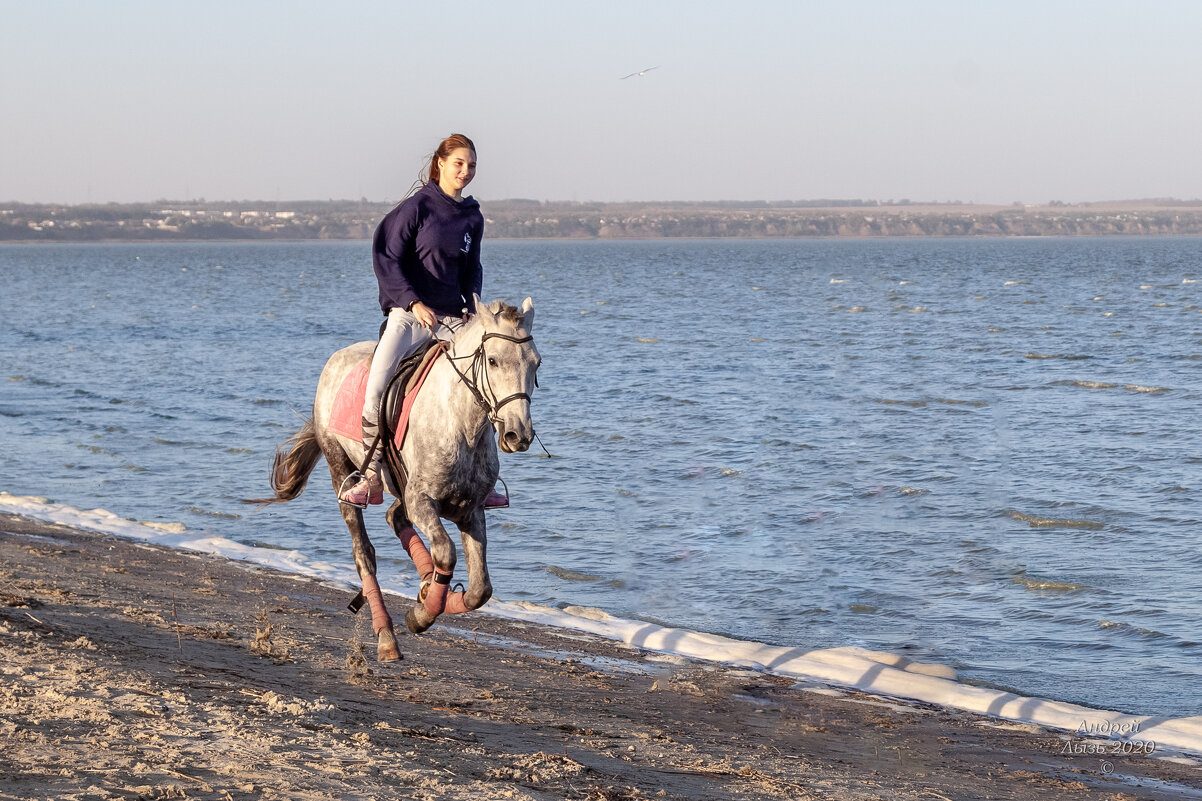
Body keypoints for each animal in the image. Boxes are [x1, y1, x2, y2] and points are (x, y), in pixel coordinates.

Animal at [256, 295, 543, 659]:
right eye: (492, 361)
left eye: (536, 364)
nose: (518, 435)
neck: (460, 424)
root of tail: (338, 357)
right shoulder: (421, 501)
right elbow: (445, 552)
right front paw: (421, 615)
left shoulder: (471, 510)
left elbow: (480, 589)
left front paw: (434, 596)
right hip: (341, 472)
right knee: (364, 553)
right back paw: (387, 636)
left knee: (395, 517)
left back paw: (425, 586)